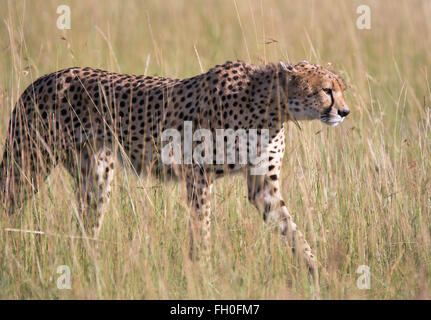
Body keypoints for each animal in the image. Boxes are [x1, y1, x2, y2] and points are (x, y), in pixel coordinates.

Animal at [0, 60, 352, 278]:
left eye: (340, 88)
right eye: (326, 90)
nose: (345, 112)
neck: (271, 106)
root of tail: (41, 79)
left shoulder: (262, 185)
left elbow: (291, 228)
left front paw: (319, 273)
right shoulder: (197, 174)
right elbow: (202, 227)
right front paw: (203, 271)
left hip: (97, 173)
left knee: (86, 228)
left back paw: (93, 268)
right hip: (28, 165)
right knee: (8, 203)